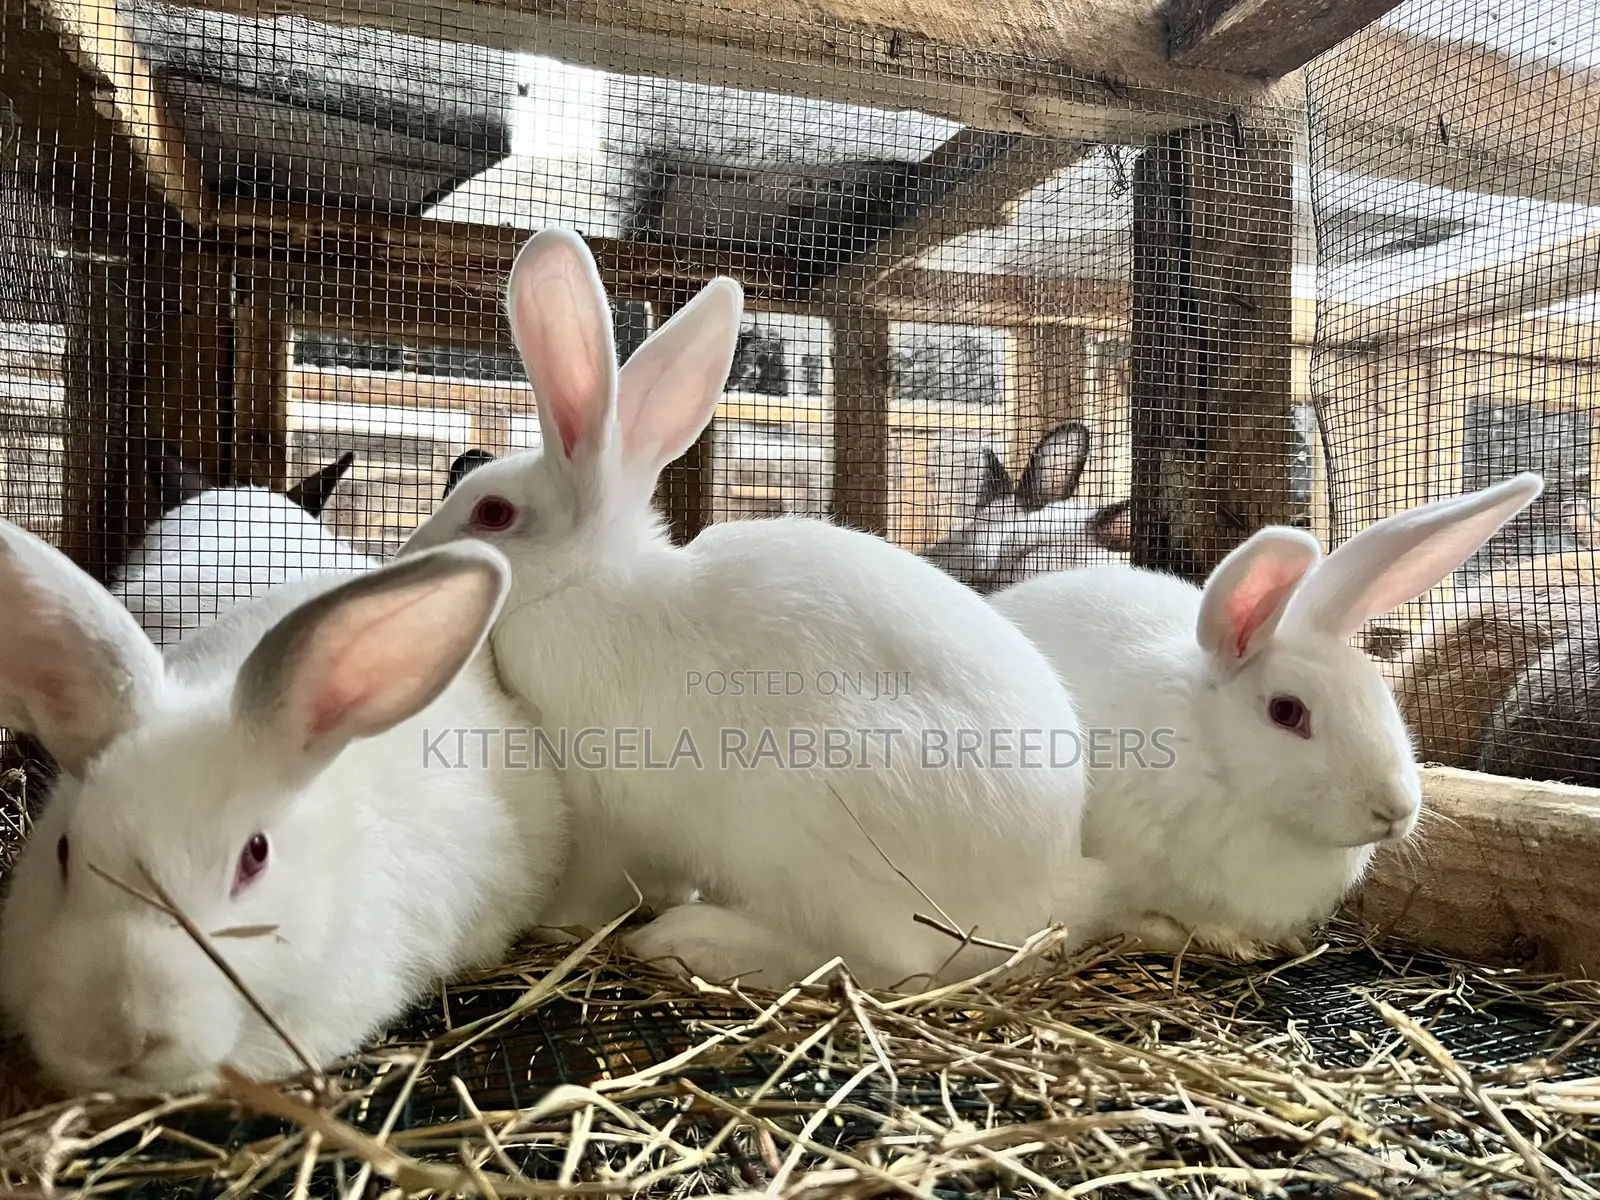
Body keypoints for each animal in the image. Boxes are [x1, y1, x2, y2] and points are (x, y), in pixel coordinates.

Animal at [399, 227, 1106, 991]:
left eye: (492, 512)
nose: (408, 554)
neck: (587, 583)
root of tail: (1042, 888)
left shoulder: (601, 811)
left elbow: (588, 888)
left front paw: (557, 925)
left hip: (809, 816)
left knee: (880, 962)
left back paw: (687, 940)